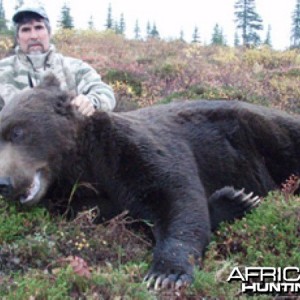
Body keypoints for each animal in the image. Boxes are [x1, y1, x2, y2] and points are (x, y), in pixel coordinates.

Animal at [0, 75, 298, 290]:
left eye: (18, 131)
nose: (4, 183)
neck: (84, 162)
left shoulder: (129, 150)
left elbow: (173, 196)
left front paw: (167, 273)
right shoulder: (79, 196)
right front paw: (232, 200)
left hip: (268, 134)